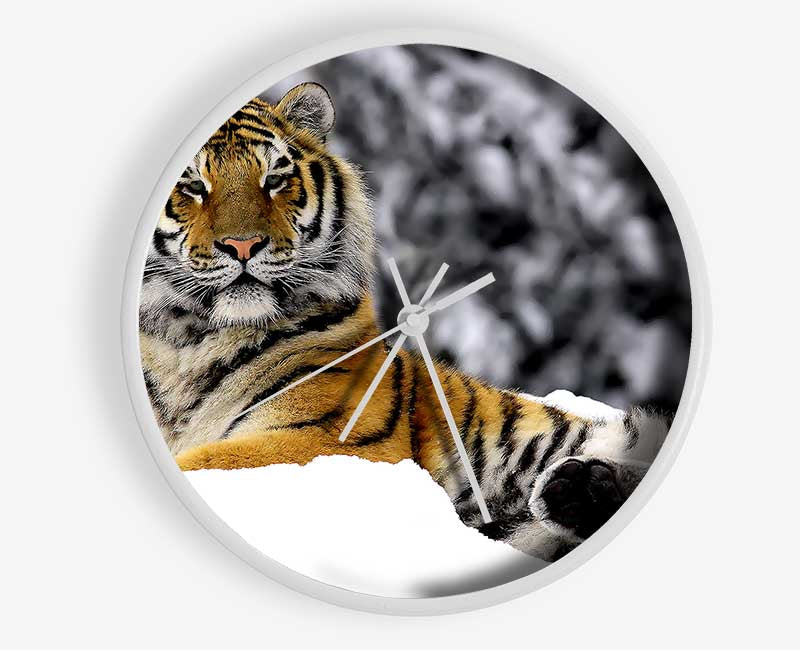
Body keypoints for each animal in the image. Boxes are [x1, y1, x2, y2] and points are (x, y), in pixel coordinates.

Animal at [140, 82, 672, 561]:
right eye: (193, 185)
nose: (244, 245)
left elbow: (207, 461)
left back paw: (582, 489)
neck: (187, 340)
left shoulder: (326, 436)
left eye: (274, 179)